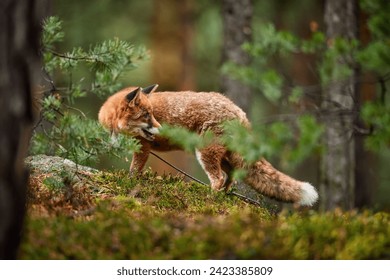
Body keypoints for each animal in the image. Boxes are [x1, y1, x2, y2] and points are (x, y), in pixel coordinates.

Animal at [96, 85, 316, 206]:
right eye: (146, 115)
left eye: (151, 114)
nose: (162, 129)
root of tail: (239, 112)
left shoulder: (143, 148)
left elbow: (134, 171)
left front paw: (128, 184)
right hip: (223, 157)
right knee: (230, 177)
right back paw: (224, 196)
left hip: (205, 153)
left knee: (218, 178)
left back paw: (209, 199)